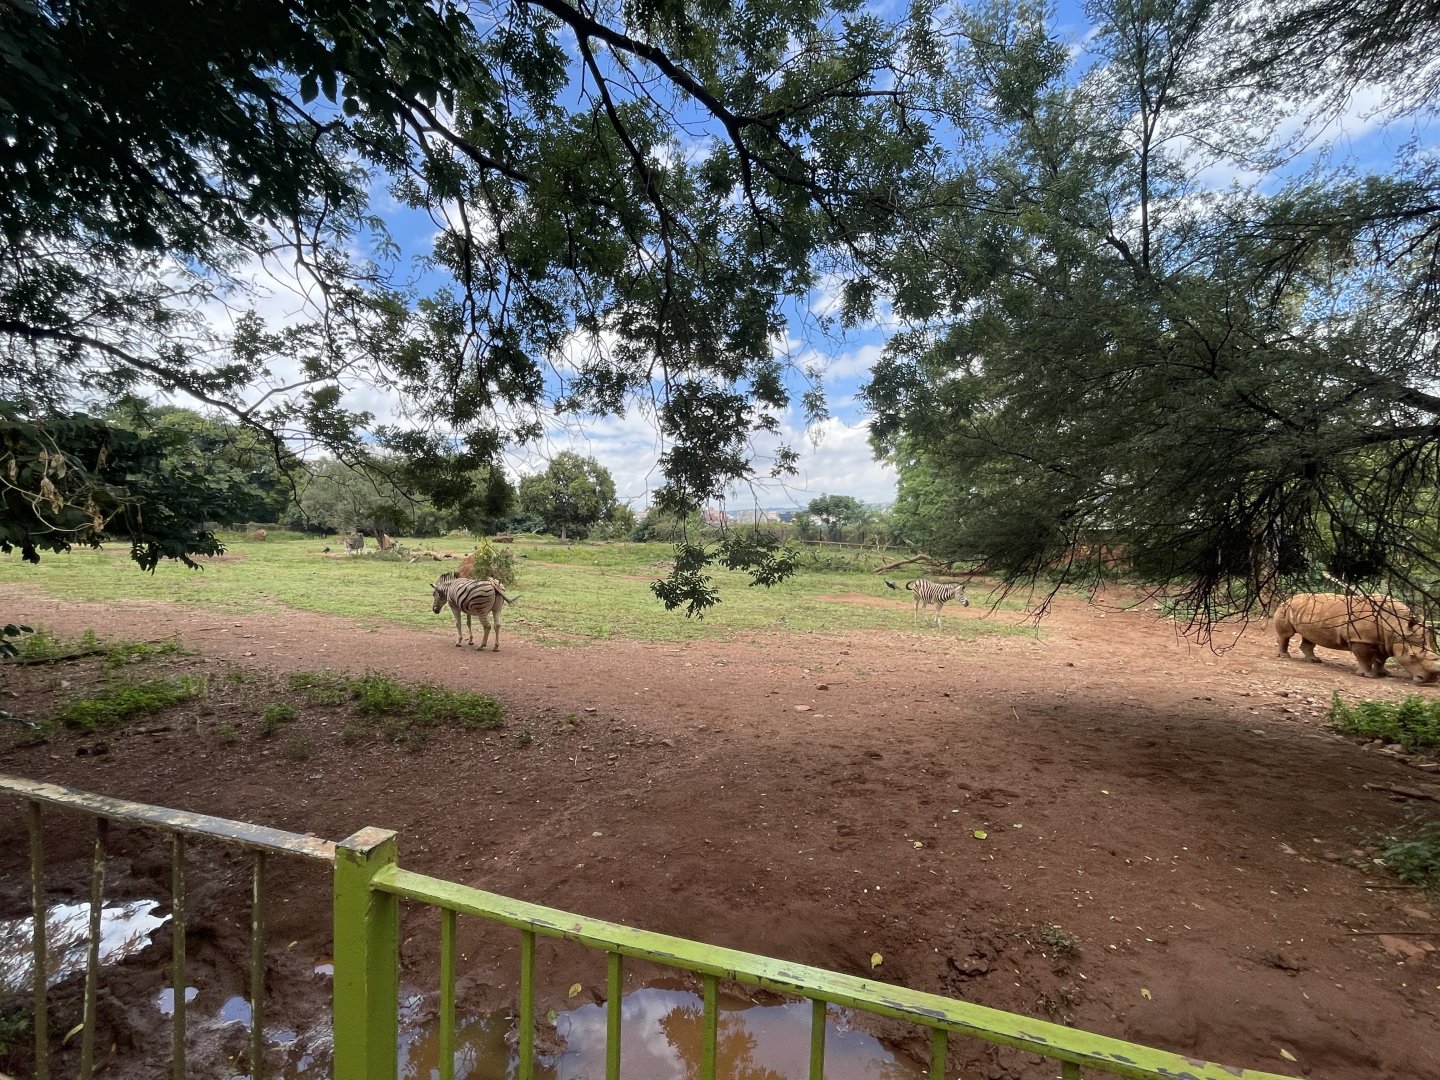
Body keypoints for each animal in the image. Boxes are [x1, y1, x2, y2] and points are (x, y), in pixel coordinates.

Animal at [1273, 592, 1440, 683]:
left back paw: (1314, 661)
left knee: (1309, 637)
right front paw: (1367, 675)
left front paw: (1383, 674)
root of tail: (1289, 597)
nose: (1430, 680)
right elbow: (1364, 658)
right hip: (1285, 607)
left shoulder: (1384, 642)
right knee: (1286, 634)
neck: (1397, 627)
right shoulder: (1361, 639)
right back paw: (1284, 656)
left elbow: (1381, 659)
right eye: (1412, 656)